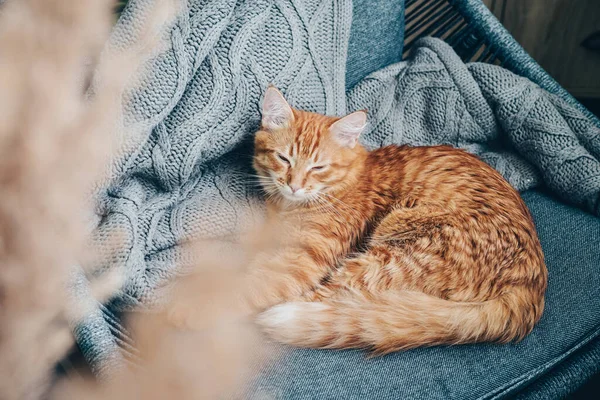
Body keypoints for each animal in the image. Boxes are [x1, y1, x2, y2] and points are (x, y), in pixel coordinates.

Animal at [248, 85, 548, 354]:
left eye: (318, 167)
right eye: (283, 158)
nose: (294, 186)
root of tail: (529, 286)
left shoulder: (304, 259)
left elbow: (255, 286)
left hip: (391, 251)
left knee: (328, 298)